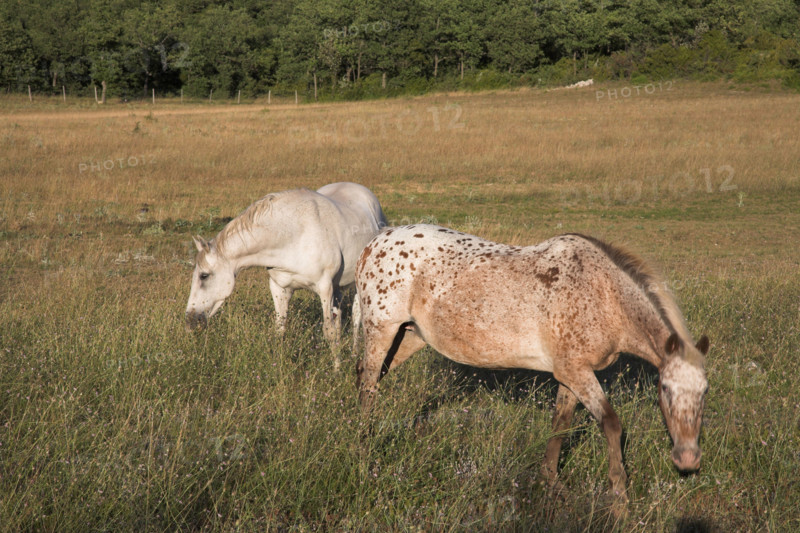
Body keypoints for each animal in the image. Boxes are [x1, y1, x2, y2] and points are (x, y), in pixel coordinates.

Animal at [185, 182, 387, 369]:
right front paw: (278, 366)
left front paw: (336, 369)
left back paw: (354, 353)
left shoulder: (324, 288)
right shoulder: (280, 288)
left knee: (357, 317)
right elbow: (280, 329)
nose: (190, 320)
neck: (294, 235)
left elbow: (328, 331)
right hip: (338, 287)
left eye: (204, 276)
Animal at [354, 224, 709, 512]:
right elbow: (611, 424)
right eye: (665, 388)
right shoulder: (577, 373)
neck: (603, 294)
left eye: (704, 392)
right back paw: (365, 451)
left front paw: (550, 484)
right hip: (381, 331)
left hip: (409, 336)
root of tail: (374, 243)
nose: (688, 459)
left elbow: (560, 426)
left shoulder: (570, 375)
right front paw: (620, 499)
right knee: (368, 386)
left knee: (368, 379)